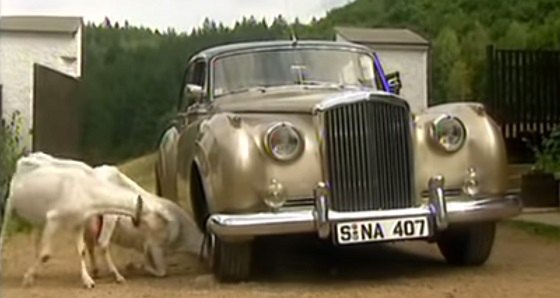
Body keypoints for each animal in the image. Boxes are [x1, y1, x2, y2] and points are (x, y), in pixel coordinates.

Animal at [0, 152, 170, 288]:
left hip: (38, 219)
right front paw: (27, 278)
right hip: (10, 203)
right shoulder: (53, 218)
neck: (88, 191)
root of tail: (25, 158)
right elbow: (46, 254)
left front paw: (88, 280)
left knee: (36, 239)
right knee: (4, 231)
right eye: (158, 217)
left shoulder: (78, 223)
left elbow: (80, 251)